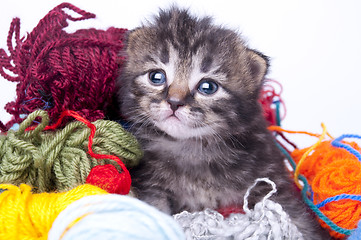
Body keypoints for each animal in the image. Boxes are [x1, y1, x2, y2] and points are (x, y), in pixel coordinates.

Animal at [116, 7, 328, 240]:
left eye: (208, 87)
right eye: (156, 77)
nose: (174, 102)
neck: (193, 148)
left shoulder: (271, 177)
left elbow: (295, 216)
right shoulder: (151, 186)